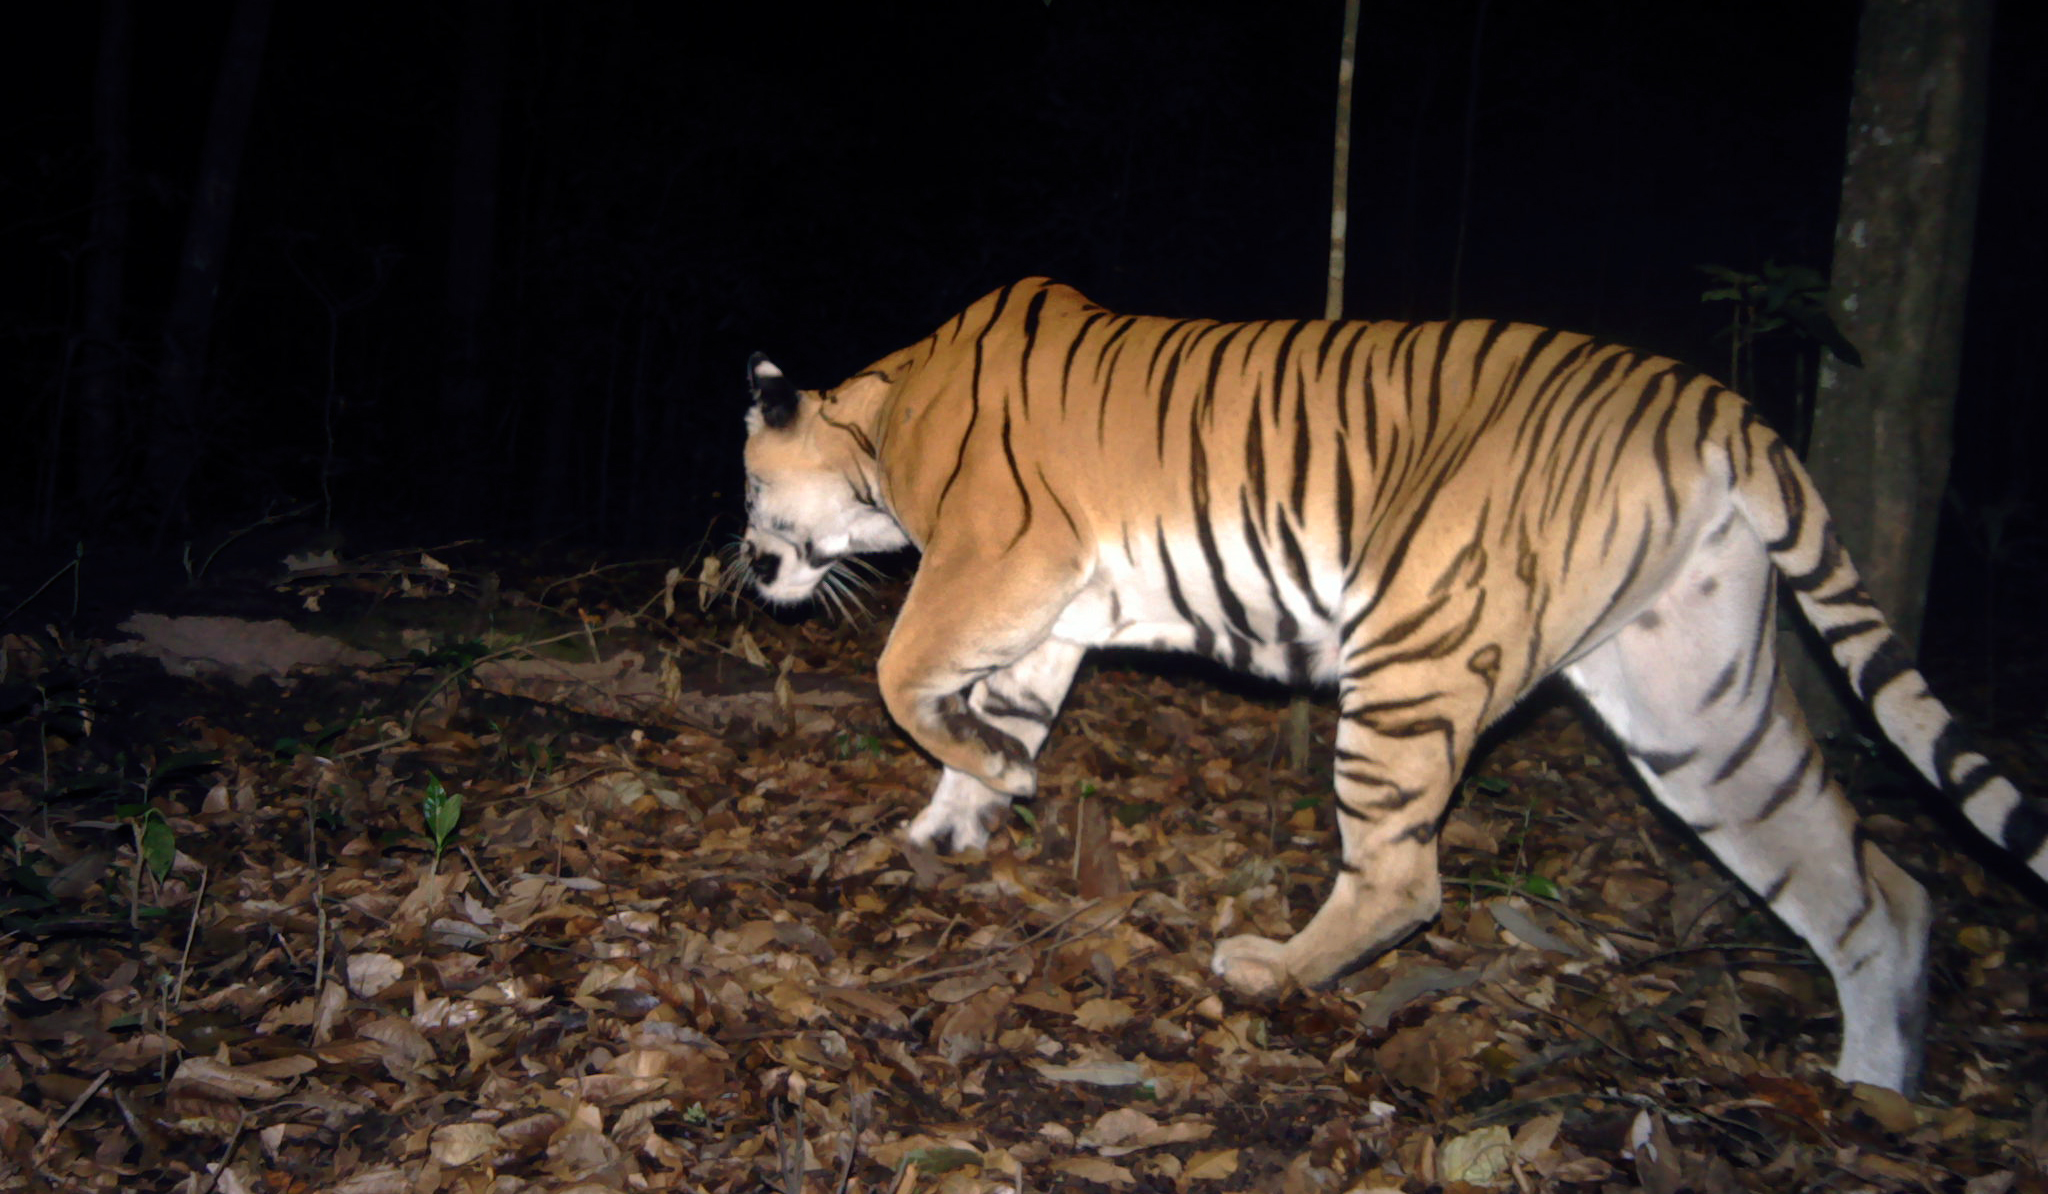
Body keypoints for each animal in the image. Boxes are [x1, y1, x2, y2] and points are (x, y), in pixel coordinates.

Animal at [738, 276, 2045, 1094]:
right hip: (1694, 709)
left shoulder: (1000, 559)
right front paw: (960, 812)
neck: (887, 414)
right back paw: (1873, 1092)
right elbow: (991, 704)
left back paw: (1266, 970)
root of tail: (1718, 404)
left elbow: (902, 672)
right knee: (1873, 892)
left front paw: (982, 779)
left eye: (750, 491)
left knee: (1404, 879)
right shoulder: (1050, 607)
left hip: (1414, 649)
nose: (747, 563)